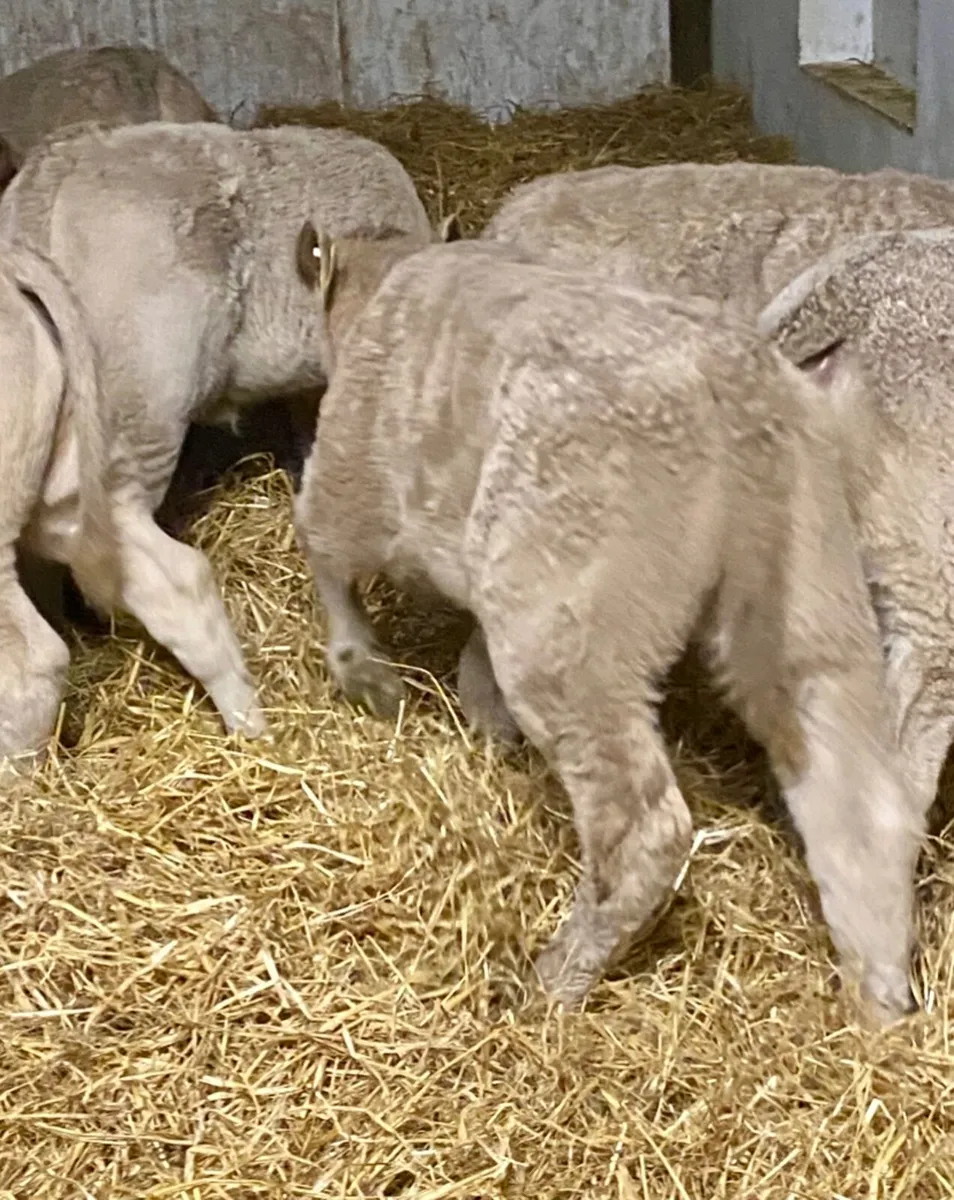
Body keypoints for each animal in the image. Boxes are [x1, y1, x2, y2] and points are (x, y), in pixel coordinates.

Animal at [290, 226, 923, 1027]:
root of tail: (735, 383)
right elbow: (473, 667)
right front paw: (487, 730)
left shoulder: (353, 478)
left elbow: (322, 551)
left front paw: (364, 673)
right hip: (811, 596)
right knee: (860, 802)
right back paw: (879, 1002)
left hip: (570, 623)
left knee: (645, 828)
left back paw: (555, 981)